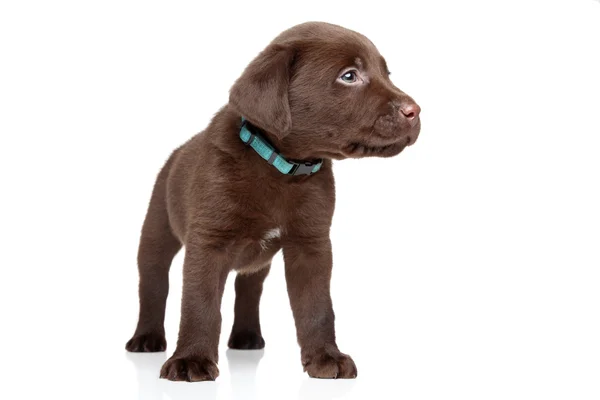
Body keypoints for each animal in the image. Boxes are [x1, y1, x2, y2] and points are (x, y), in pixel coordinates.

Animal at [124, 21, 420, 382]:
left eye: (386, 73)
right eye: (349, 76)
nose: (415, 111)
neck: (280, 167)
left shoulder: (312, 246)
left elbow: (317, 307)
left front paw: (326, 357)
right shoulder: (208, 243)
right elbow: (199, 304)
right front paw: (191, 360)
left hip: (257, 261)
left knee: (248, 290)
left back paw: (247, 337)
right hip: (157, 230)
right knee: (153, 283)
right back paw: (146, 338)